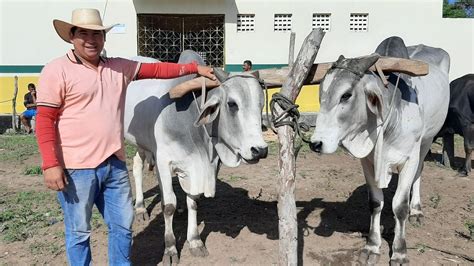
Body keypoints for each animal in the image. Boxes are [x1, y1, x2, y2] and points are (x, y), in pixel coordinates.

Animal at [124, 50, 268, 264]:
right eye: (232, 104)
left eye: (261, 105)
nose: (260, 150)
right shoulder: (163, 161)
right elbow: (168, 205)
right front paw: (170, 249)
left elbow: (193, 201)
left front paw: (194, 241)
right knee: (136, 167)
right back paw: (140, 207)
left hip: (144, 144)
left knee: (137, 164)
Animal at [310, 37, 450, 264]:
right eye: (320, 94)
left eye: (346, 95)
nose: (316, 143)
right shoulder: (368, 162)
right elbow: (376, 203)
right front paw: (372, 246)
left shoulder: (409, 158)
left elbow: (399, 206)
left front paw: (400, 251)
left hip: (426, 140)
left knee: (419, 172)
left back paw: (416, 210)